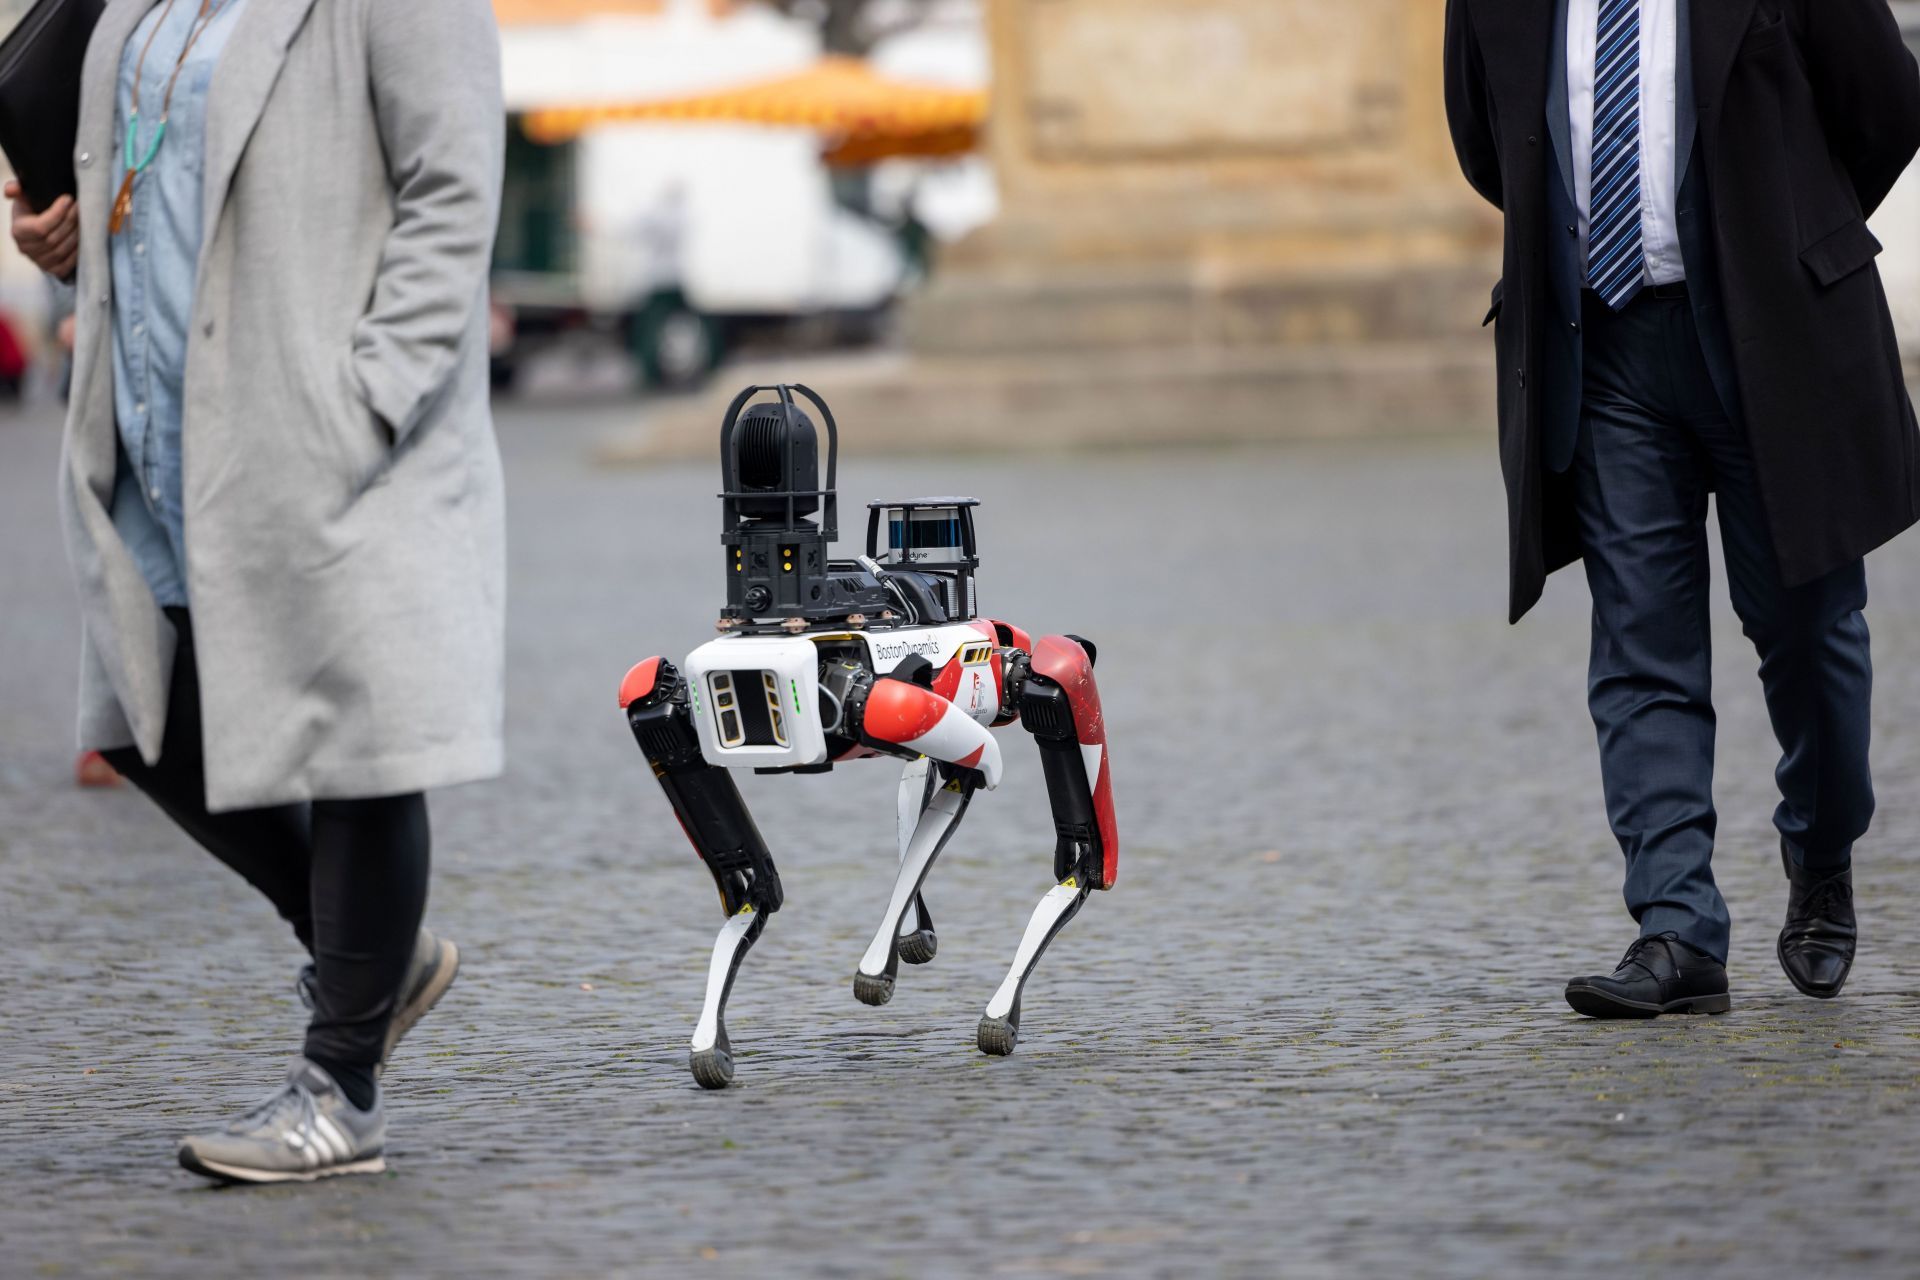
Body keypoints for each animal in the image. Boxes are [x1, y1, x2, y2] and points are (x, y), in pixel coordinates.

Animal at [622, 385, 1121, 1090]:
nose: (999, 641)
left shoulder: (929, 702)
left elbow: (972, 782)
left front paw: (896, 955)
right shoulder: (901, 706)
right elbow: (969, 771)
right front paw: (893, 950)